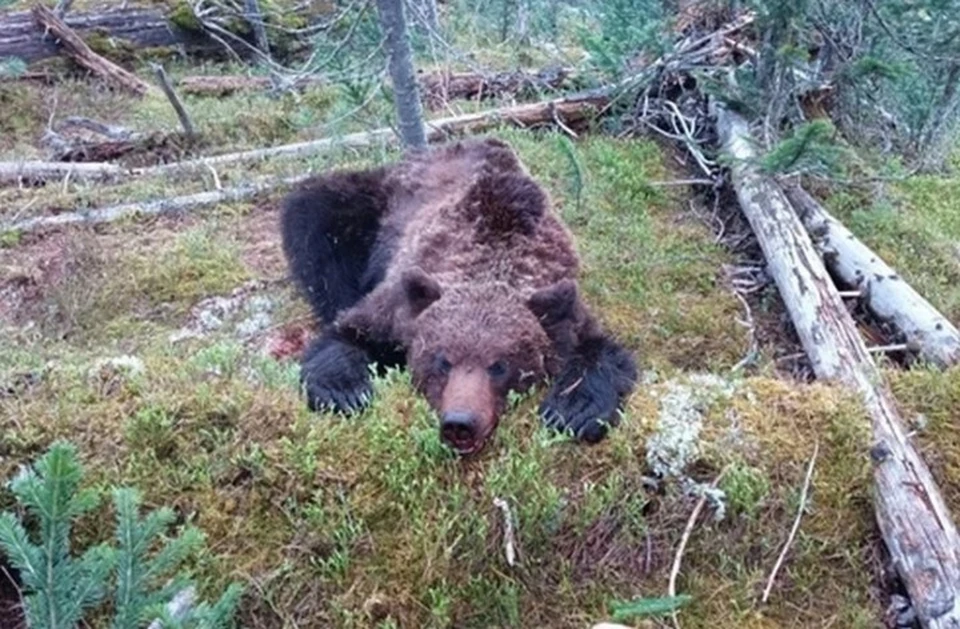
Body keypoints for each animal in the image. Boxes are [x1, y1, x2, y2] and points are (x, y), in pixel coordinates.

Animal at [280, 136, 636, 452]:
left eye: (500, 365)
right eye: (443, 361)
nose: (460, 423)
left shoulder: (563, 303)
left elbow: (603, 352)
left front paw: (573, 411)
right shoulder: (399, 303)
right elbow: (347, 333)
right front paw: (345, 392)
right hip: (373, 204)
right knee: (316, 215)